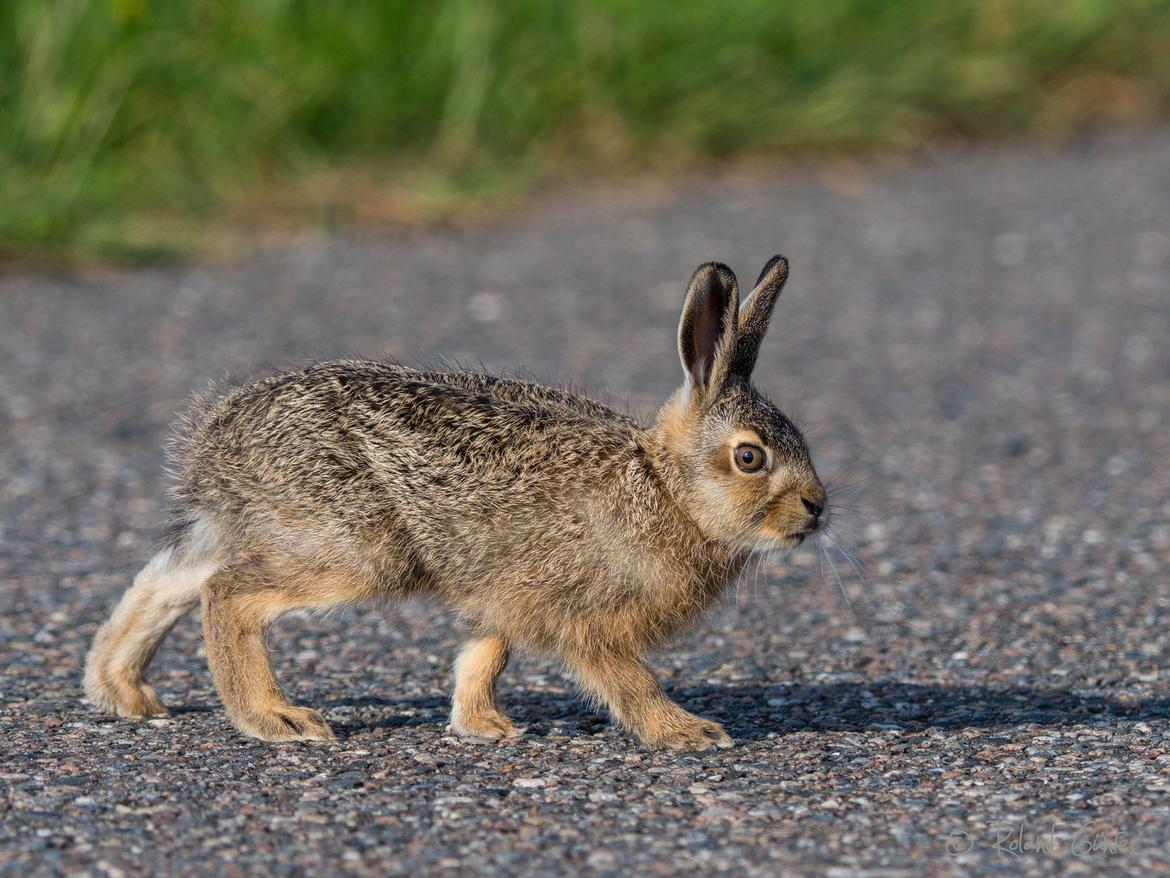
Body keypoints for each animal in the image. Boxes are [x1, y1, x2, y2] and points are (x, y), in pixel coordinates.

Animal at [84, 255, 826, 751]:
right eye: (750, 457)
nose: (816, 508)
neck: (668, 491)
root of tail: (216, 442)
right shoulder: (582, 615)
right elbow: (627, 678)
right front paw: (687, 733)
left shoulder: (502, 594)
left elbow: (483, 655)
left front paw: (482, 726)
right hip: (354, 548)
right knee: (226, 593)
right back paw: (276, 720)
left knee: (171, 578)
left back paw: (124, 694)